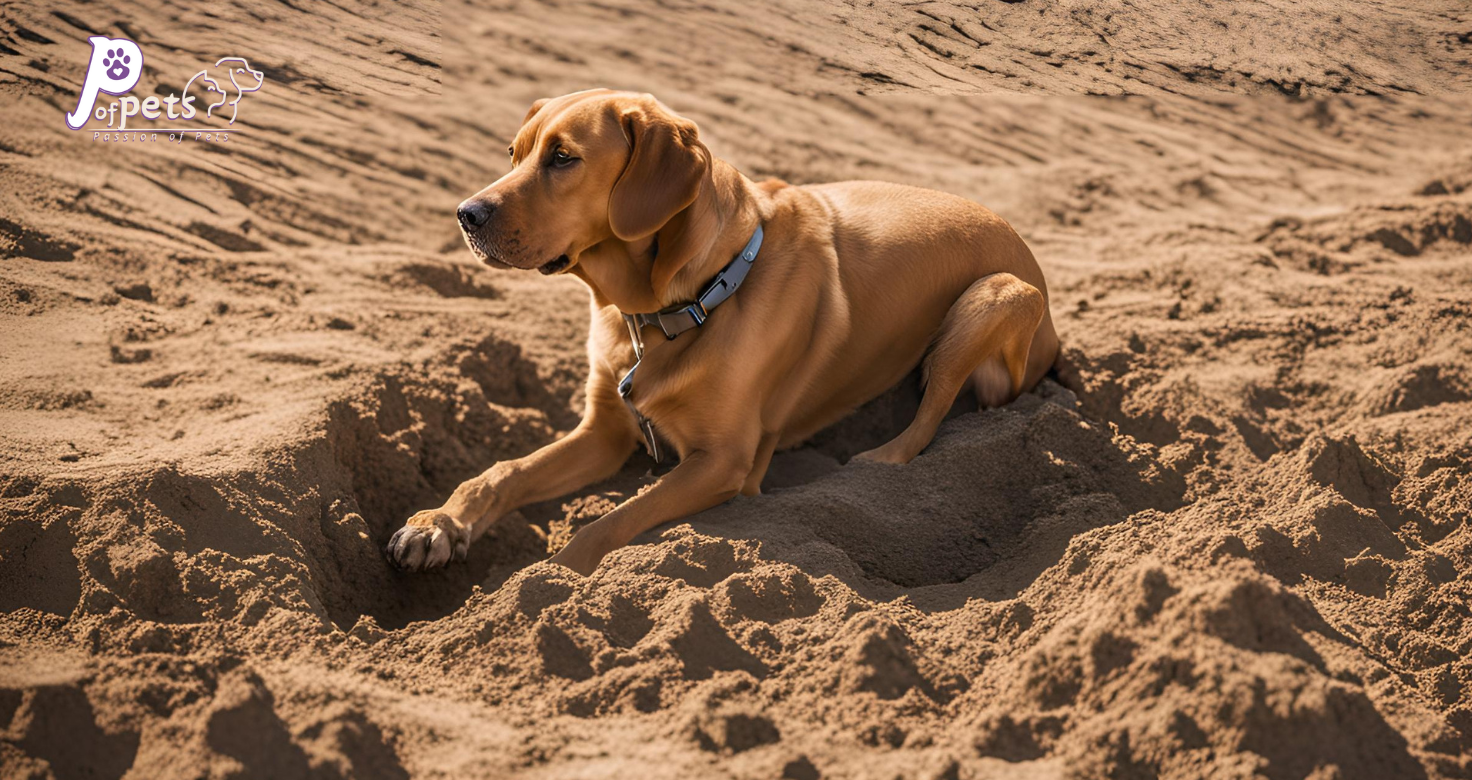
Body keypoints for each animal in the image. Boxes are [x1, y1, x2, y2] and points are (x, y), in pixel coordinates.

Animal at [388, 89, 1059, 571]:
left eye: (563, 158)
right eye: (514, 154)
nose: (466, 214)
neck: (680, 301)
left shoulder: (724, 460)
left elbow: (608, 524)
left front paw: (540, 581)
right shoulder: (605, 432)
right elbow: (501, 472)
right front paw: (435, 525)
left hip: (991, 296)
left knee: (932, 415)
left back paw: (878, 458)